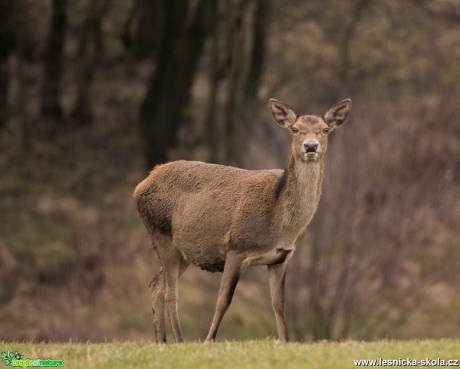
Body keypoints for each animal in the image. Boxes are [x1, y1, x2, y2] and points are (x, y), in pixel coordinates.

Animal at [134, 97, 352, 342]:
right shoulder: (236, 246)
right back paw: (180, 341)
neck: (279, 221)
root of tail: (141, 185)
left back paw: (162, 341)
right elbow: (223, 300)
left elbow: (279, 304)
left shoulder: (281, 258)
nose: (311, 146)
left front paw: (285, 341)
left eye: (325, 130)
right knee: (171, 292)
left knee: (156, 285)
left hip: (183, 252)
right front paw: (209, 340)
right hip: (161, 233)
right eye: (295, 129)